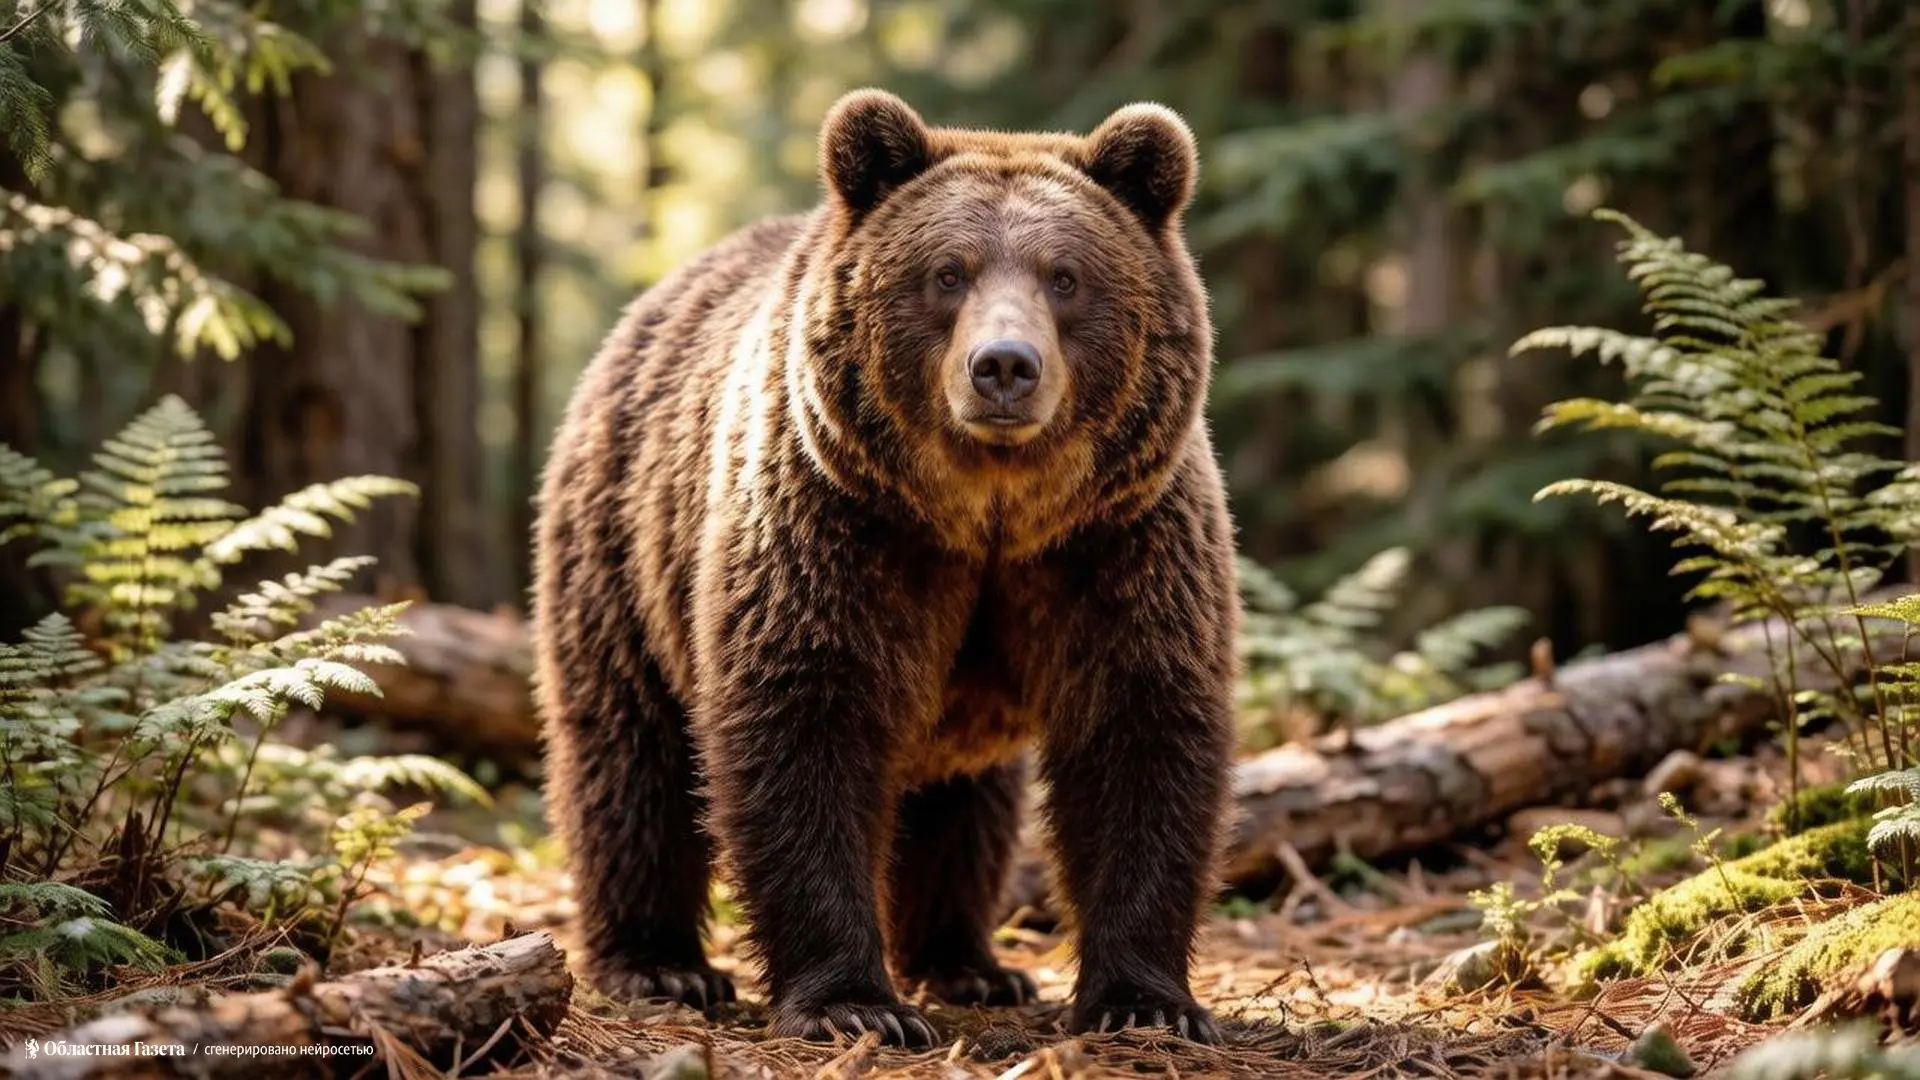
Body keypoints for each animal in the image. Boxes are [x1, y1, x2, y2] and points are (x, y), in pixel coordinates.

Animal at [531, 89, 1238, 1048]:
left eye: (1064, 276)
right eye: (948, 272)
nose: (1004, 366)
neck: (988, 517)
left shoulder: (1116, 543)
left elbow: (1141, 731)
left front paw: (1145, 1000)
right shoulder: (836, 527)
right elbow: (804, 724)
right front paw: (855, 1003)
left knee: (967, 806)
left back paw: (970, 963)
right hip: (619, 553)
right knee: (628, 759)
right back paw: (658, 962)